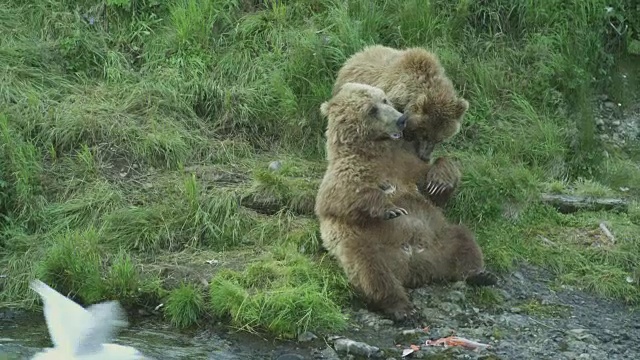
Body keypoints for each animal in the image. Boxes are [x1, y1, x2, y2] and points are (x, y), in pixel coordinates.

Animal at [316, 83, 496, 320]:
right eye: (372, 109)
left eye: (384, 99)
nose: (401, 119)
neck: (374, 148)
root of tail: (414, 266)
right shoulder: (344, 170)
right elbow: (338, 197)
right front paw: (391, 209)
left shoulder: (404, 164)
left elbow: (433, 187)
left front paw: (440, 181)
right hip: (369, 246)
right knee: (371, 270)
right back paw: (403, 308)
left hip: (440, 237)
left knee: (463, 238)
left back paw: (481, 274)